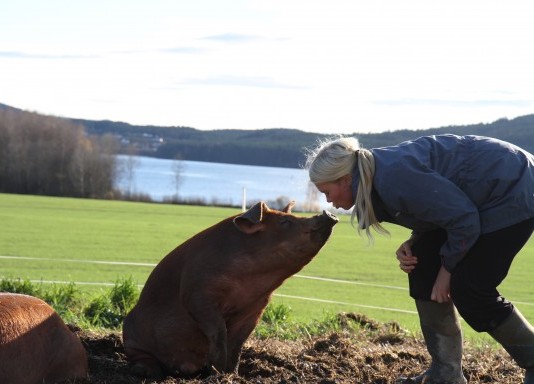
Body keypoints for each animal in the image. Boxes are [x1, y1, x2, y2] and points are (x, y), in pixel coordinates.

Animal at [123, 201, 338, 378]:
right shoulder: (197, 294)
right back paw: (147, 372)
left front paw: (231, 374)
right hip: (132, 337)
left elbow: (238, 343)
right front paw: (217, 373)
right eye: (285, 221)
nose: (328, 213)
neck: (249, 281)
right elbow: (219, 332)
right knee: (141, 357)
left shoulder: (256, 307)